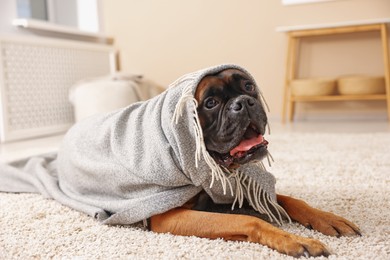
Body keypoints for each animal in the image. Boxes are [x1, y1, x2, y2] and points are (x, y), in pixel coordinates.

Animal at [149, 69, 360, 258]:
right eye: (210, 103)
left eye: (248, 86)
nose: (243, 102)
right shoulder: (166, 216)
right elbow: (249, 221)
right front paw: (296, 240)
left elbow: (291, 200)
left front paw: (328, 218)